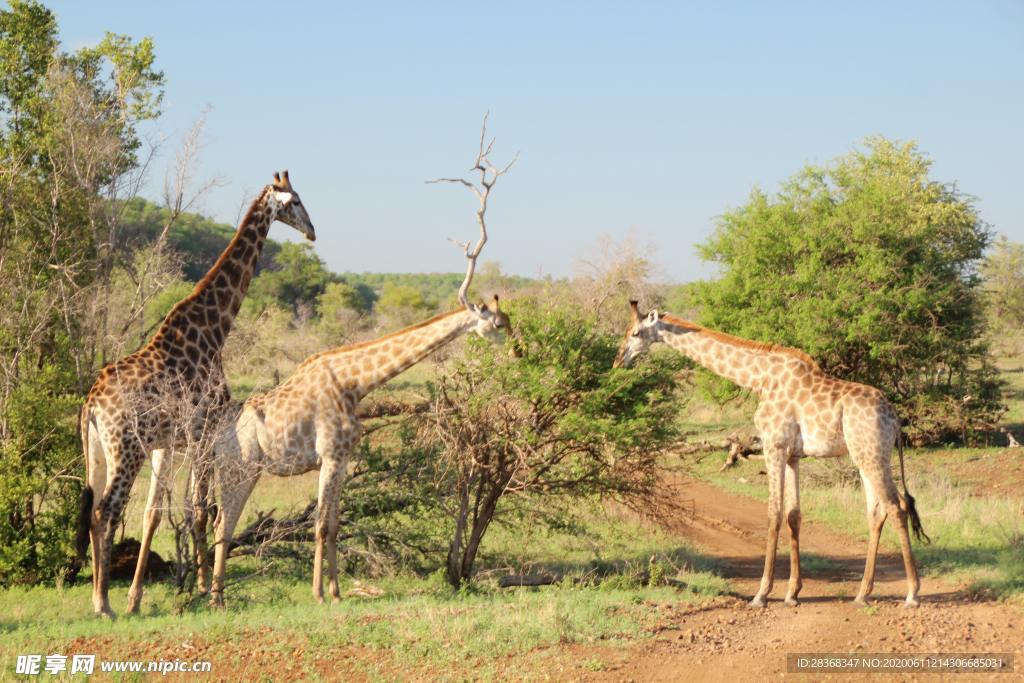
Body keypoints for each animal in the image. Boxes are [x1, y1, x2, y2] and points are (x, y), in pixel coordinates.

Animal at [75, 172, 313, 618]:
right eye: (296, 201)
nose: (312, 231)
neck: (213, 329)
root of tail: (91, 405)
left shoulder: (170, 443)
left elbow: (157, 512)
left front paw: (140, 597)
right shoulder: (206, 432)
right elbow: (200, 510)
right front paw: (204, 588)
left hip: (97, 451)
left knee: (93, 509)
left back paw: (104, 598)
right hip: (126, 448)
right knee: (106, 511)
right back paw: (102, 603)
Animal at [209, 294, 512, 602]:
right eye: (500, 323)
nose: (516, 351)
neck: (354, 384)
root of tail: (216, 439)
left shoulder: (342, 458)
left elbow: (333, 526)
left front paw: (336, 593)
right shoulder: (329, 456)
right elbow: (319, 525)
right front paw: (318, 594)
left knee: (221, 521)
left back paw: (210, 591)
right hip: (239, 468)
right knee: (223, 524)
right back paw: (216, 597)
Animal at [610, 301, 933, 606]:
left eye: (635, 333)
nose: (617, 360)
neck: (760, 379)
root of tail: (894, 415)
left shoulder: (773, 446)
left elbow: (773, 514)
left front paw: (762, 594)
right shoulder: (792, 455)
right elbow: (793, 515)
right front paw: (792, 592)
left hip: (871, 453)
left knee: (897, 506)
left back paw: (912, 593)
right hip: (865, 455)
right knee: (876, 511)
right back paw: (862, 593)